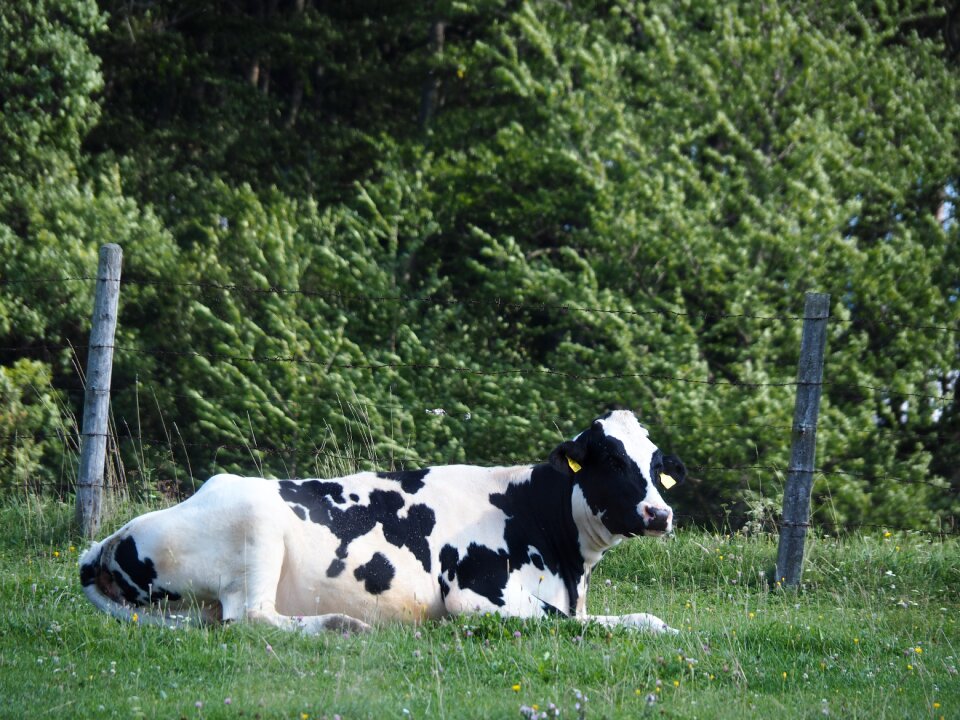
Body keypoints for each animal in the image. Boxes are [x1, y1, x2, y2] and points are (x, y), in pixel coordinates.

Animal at [80, 410, 684, 636]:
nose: (660, 513)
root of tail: (108, 541)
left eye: (656, 465)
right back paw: (341, 626)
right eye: (611, 461)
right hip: (256, 532)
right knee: (249, 618)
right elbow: (581, 622)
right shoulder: (474, 596)